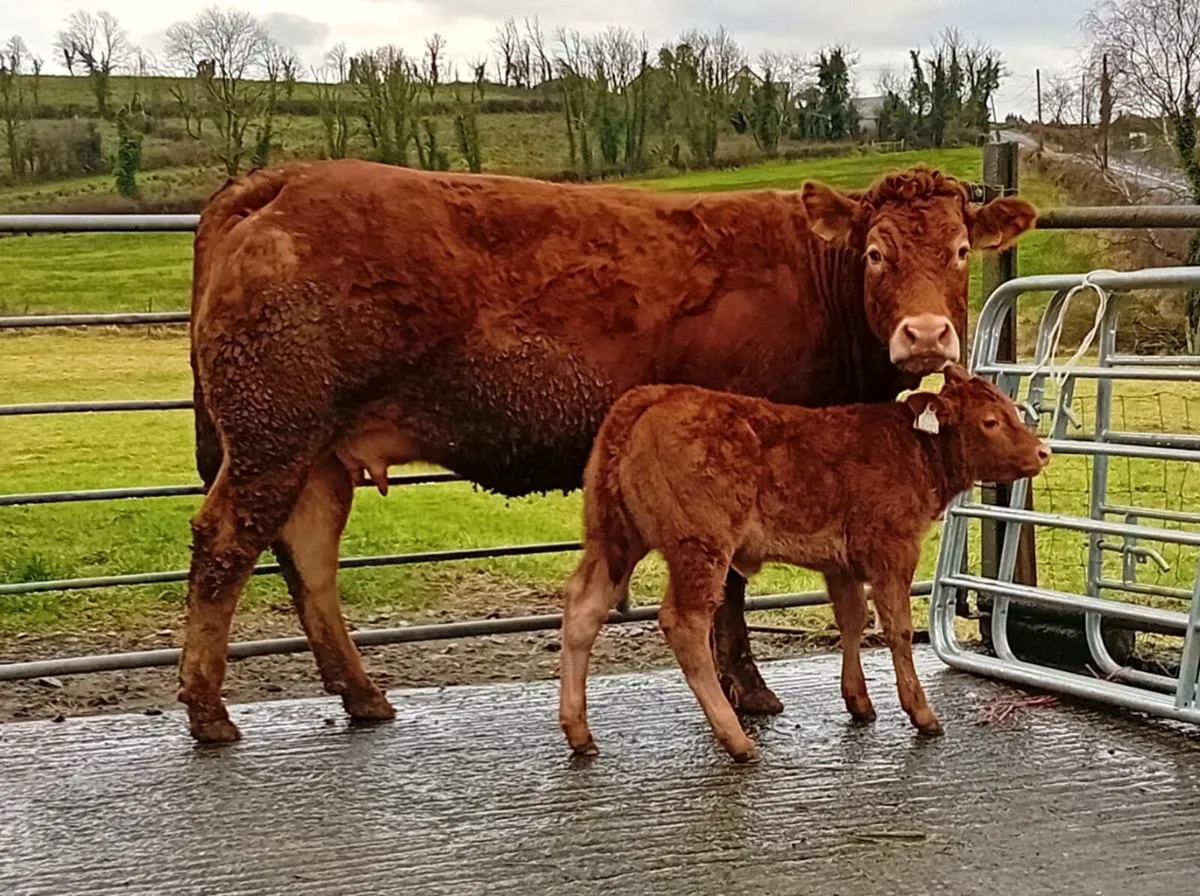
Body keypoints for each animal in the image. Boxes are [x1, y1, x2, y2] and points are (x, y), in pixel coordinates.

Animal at [558, 365, 1052, 762]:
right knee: (685, 622)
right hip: (698, 544)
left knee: (583, 608)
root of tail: (653, 396)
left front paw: (859, 702)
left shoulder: (841, 562)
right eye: (990, 421)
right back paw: (737, 740)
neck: (913, 450)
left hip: (613, 535)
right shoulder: (892, 548)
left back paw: (578, 732)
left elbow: (852, 619)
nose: (1043, 451)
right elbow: (897, 628)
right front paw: (921, 713)